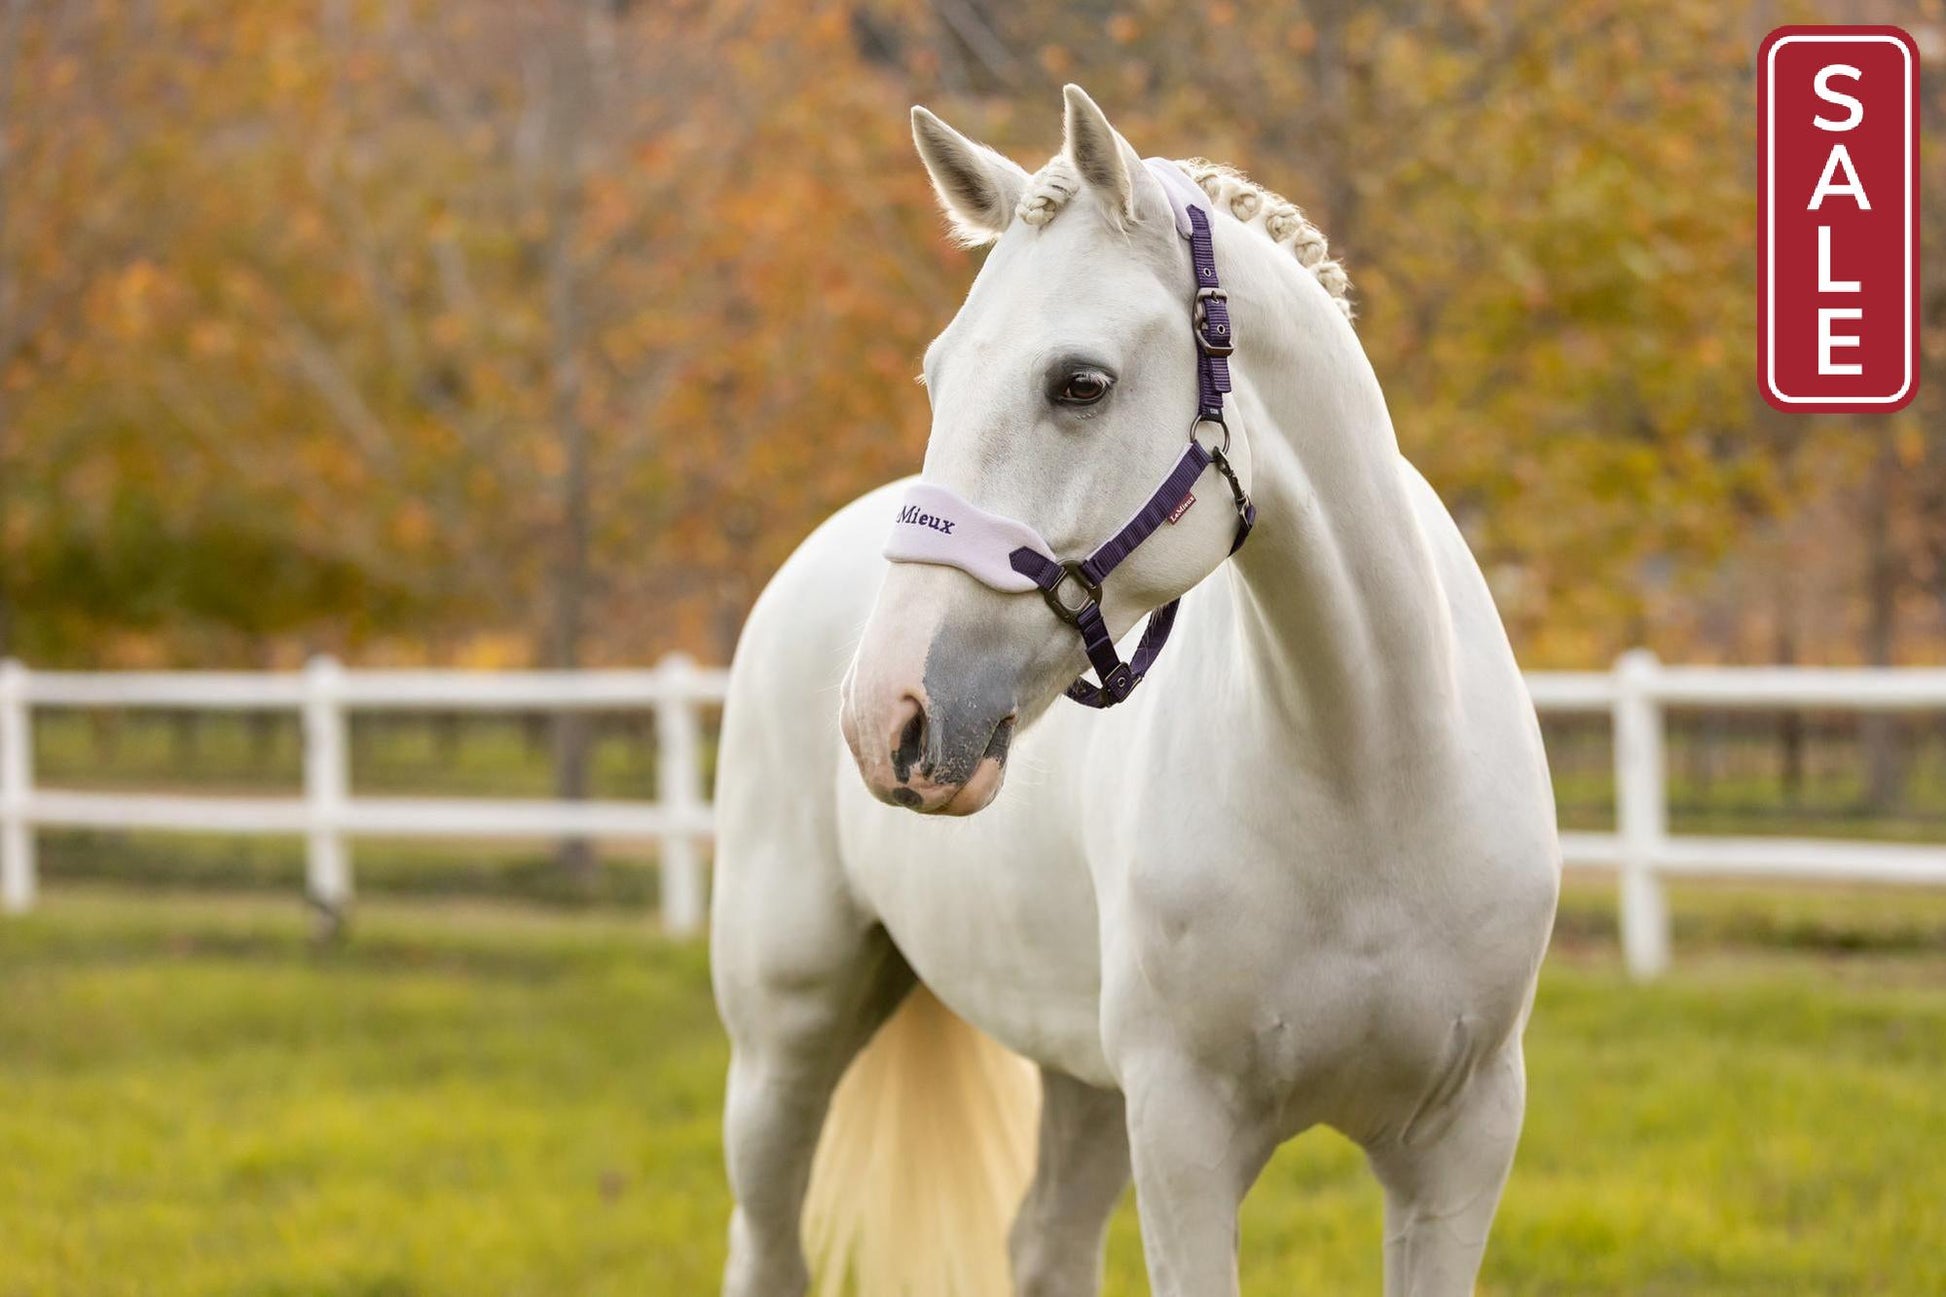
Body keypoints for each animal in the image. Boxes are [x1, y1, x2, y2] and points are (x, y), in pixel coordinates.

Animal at [711, 85, 1560, 1297]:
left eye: (1080, 383)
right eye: (936, 377)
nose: (888, 713)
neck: (1370, 776)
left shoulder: (1459, 1146)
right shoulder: (1184, 1136)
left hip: (1081, 1082)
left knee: (1045, 1244)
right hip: (787, 1037)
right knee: (767, 1240)